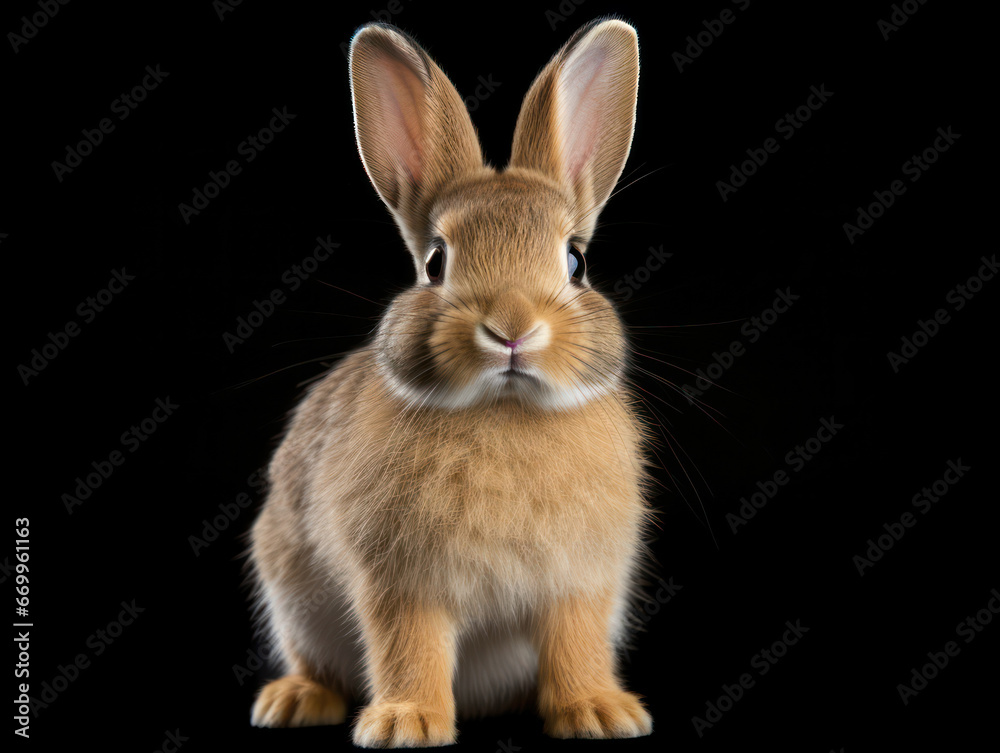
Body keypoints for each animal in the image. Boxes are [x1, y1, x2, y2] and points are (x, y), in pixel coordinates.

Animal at [248, 17, 653, 747]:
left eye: (576, 262)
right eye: (436, 262)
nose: (512, 328)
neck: (505, 409)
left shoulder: (579, 582)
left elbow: (575, 644)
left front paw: (600, 712)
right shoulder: (402, 584)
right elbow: (410, 646)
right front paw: (406, 722)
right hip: (290, 591)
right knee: (316, 661)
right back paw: (294, 700)